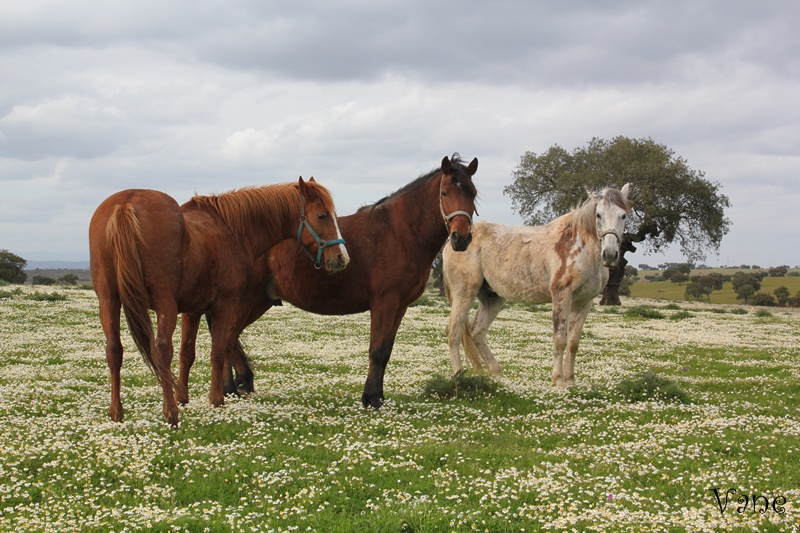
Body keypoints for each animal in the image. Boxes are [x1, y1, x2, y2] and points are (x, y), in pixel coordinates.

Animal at [90, 177, 346, 426]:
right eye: (321, 215)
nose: (341, 257)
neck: (231, 230)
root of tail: (126, 203)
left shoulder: (192, 310)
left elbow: (187, 354)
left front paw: (183, 397)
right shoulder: (226, 305)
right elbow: (219, 350)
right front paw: (216, 399)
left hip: (109, 300)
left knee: (114, 350)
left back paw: (117, 413)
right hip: (164, 303)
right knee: (162, 350)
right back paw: (171, 413)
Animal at [184, 154, 478, 408]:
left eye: (473, 193)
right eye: (445, 193)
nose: (461, 237)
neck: (398, 232)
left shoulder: (401, 306)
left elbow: (386, 350)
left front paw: (379, 397)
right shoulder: (384, 302)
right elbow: (377, 350)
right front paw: (371, 399)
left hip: (259, 301)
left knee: (229, 338)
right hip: (244, 300)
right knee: (225, 337)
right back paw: (230, 388)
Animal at [444, 185, 632, 384]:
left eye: (623, 215)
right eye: (598, 215)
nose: (610, 254)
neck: (579, 247)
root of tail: (454, 242)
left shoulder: (584, 302)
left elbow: (573, 343)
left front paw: (571, 381)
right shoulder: (562, 296)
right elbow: (560, 339)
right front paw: (558, 380)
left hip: (492, 298)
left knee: (477, 332)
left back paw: (497, 373)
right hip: (465, 293)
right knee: (454, 331)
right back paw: (458, 375)